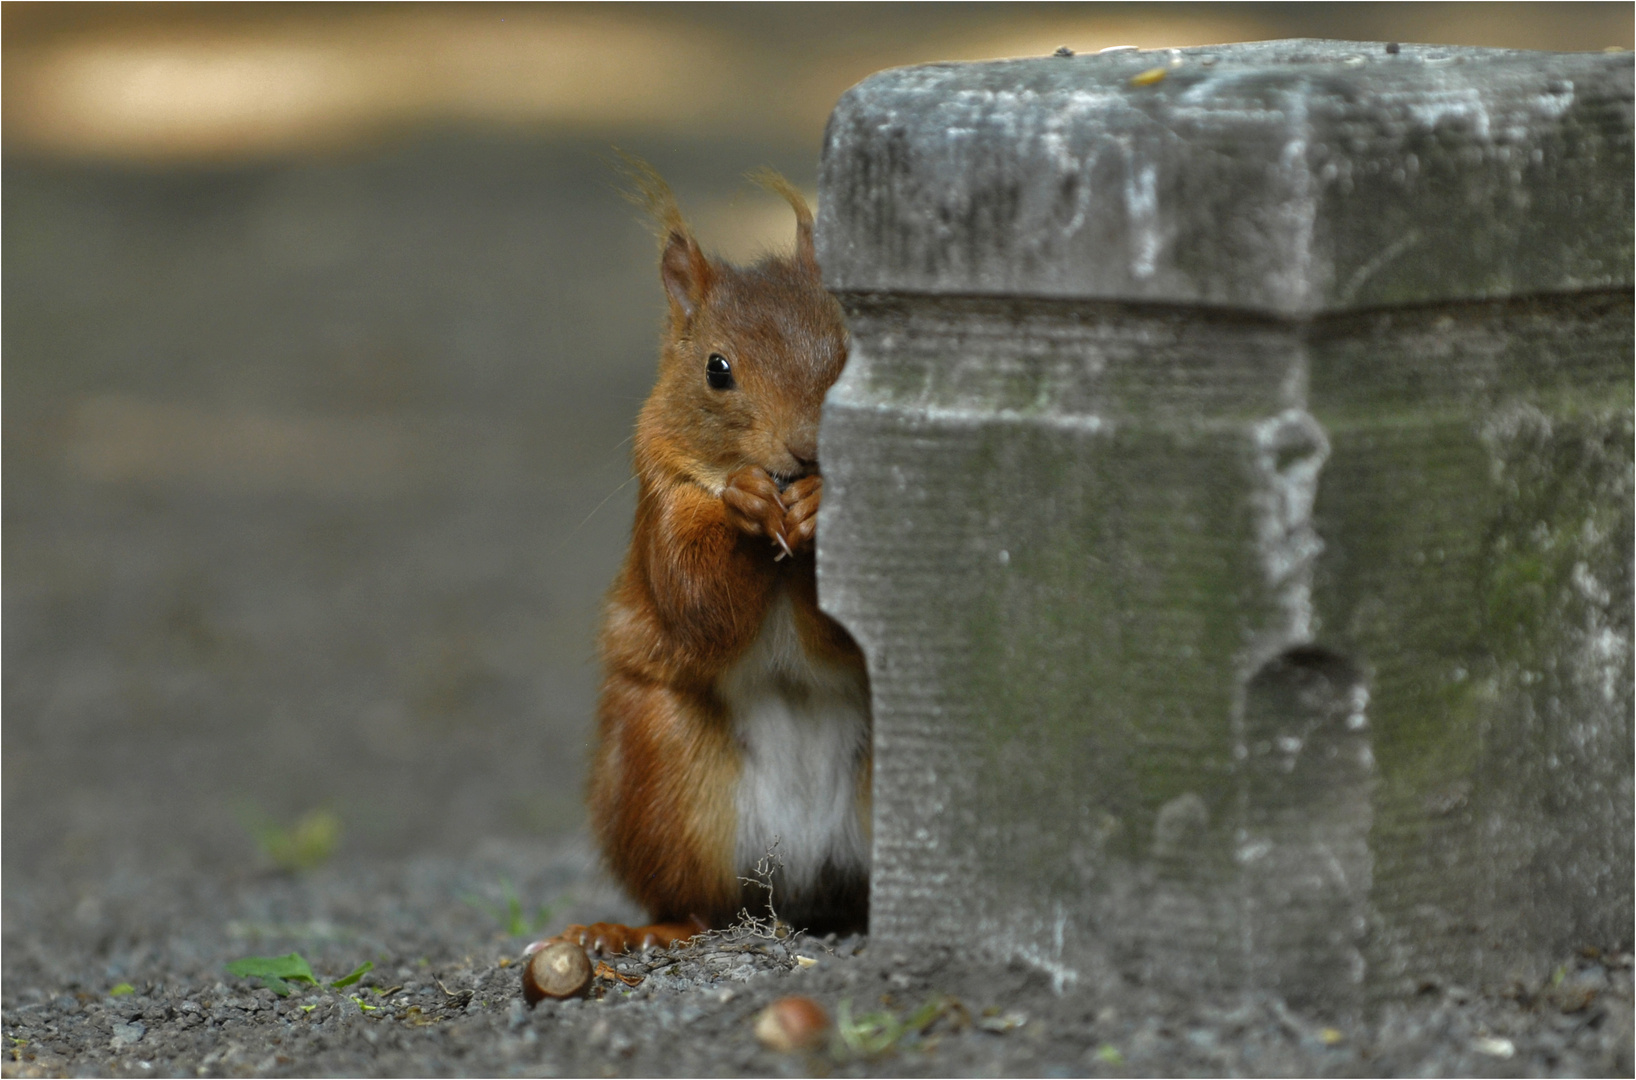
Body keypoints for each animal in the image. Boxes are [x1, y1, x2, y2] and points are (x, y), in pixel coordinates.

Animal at [533, 160, 870, 955]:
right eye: (718, 370)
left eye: (848, 351)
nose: (805, 453)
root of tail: (791, 890)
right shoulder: (664, 501)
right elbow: (696, 600)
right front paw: (746, 501)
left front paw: (817, 505)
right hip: (661, 771)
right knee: (698, 905)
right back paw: (633, 932)